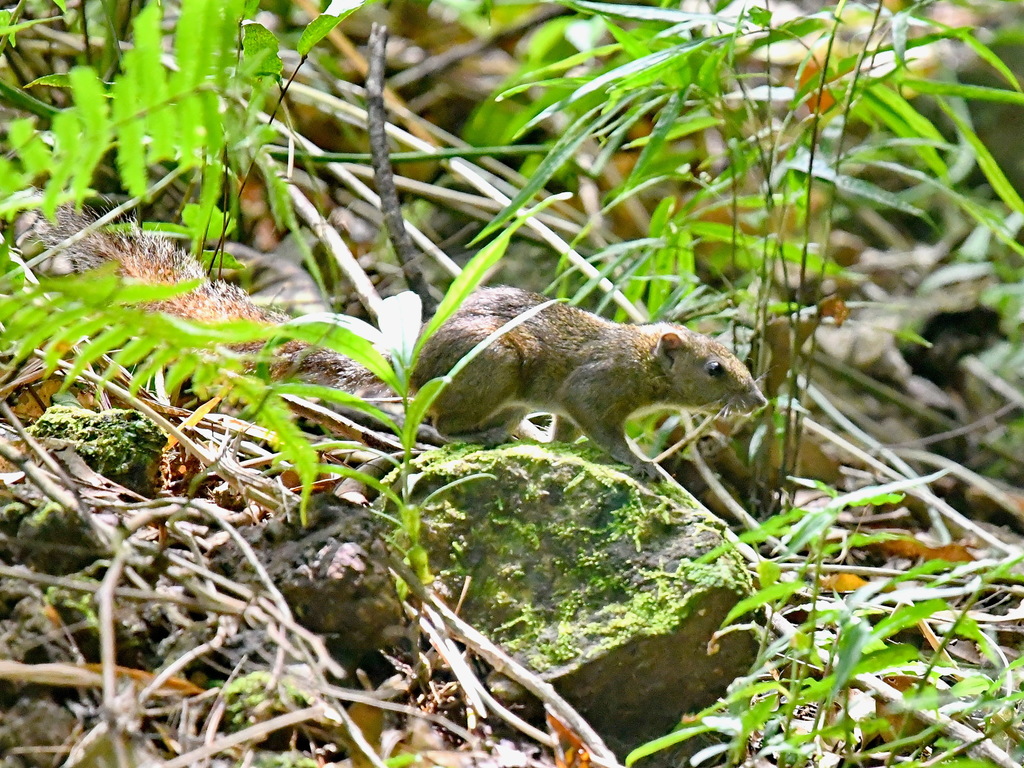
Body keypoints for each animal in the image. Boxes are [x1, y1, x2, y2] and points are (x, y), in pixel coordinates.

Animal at [31, 206, 766, 477]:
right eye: (716, 369)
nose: (758, 402)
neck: (640, 360)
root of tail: (405, 374)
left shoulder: (573, 401)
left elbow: (566, 430)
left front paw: (567, 446)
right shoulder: (594, 387)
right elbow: (598, 428)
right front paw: (639, 463)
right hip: (496, 368)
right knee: (443, 426)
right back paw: (492, 433)